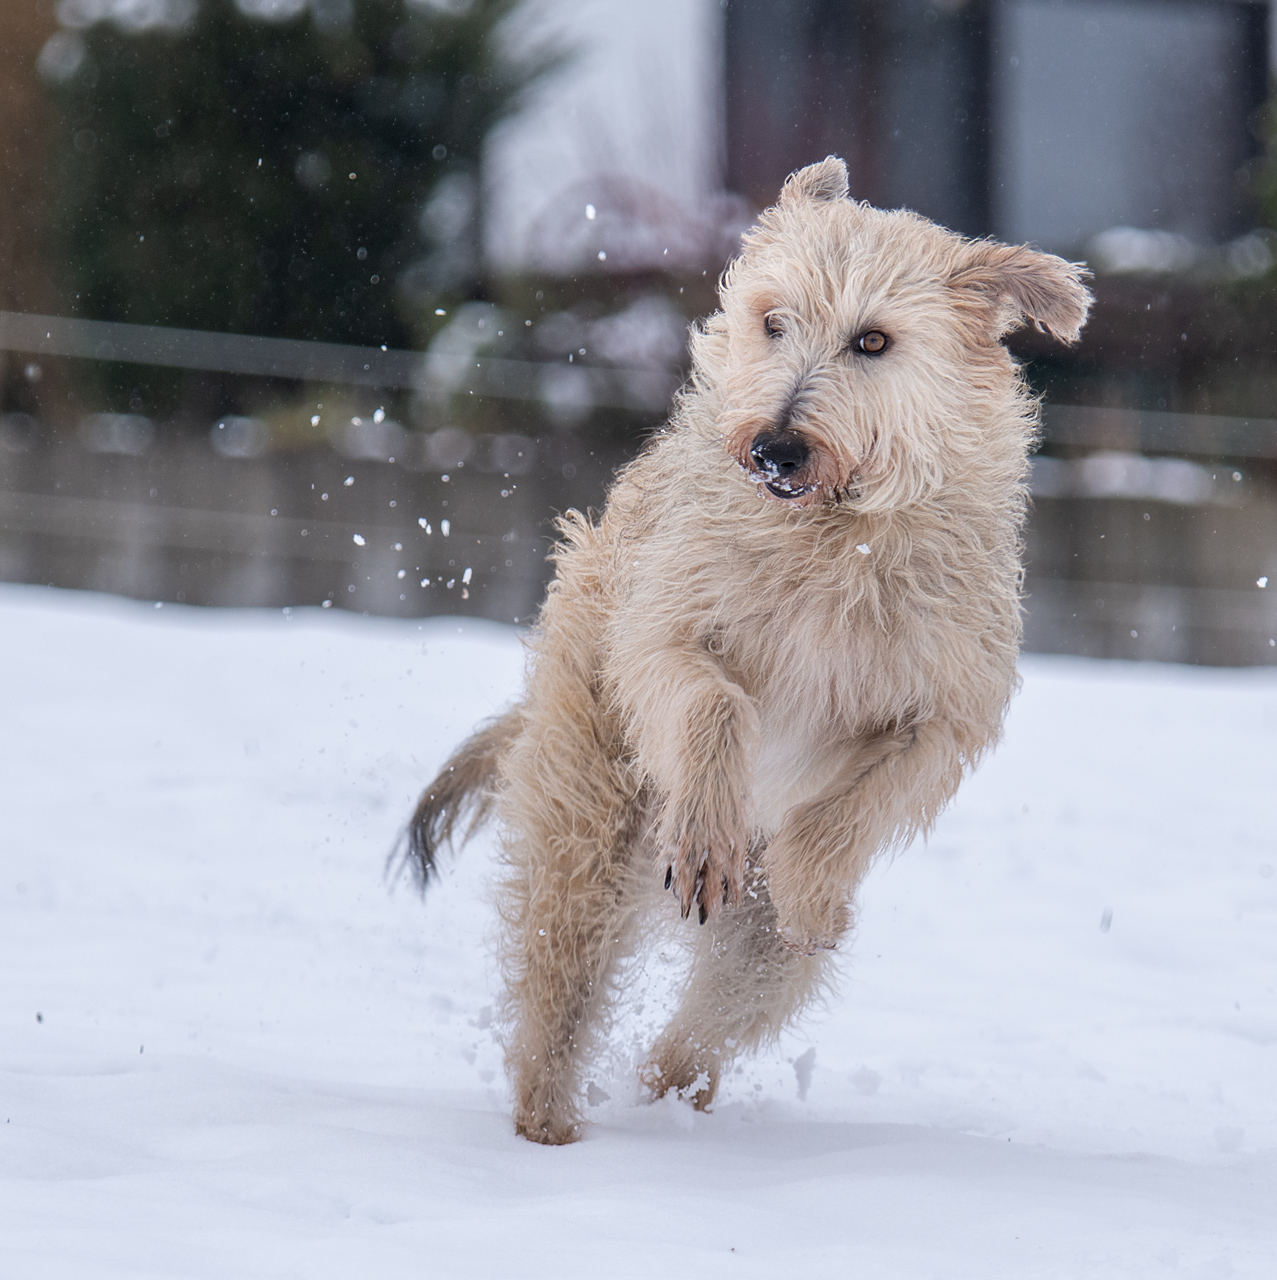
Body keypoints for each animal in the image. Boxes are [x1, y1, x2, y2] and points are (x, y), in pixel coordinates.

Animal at [406, 154, 1090, 1146]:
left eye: (873, 341)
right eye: (774, 320)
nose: (774, 447)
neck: (837, 537)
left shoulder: (945, 709)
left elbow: (864, 800)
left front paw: (810, 880)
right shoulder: (665, 628)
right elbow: (712, 700)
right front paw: (706, 828)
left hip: (760, 962)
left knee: (691, 1041)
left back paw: (680, 1104)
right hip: (588, 832)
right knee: (558, 982)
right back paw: (549, 1129)